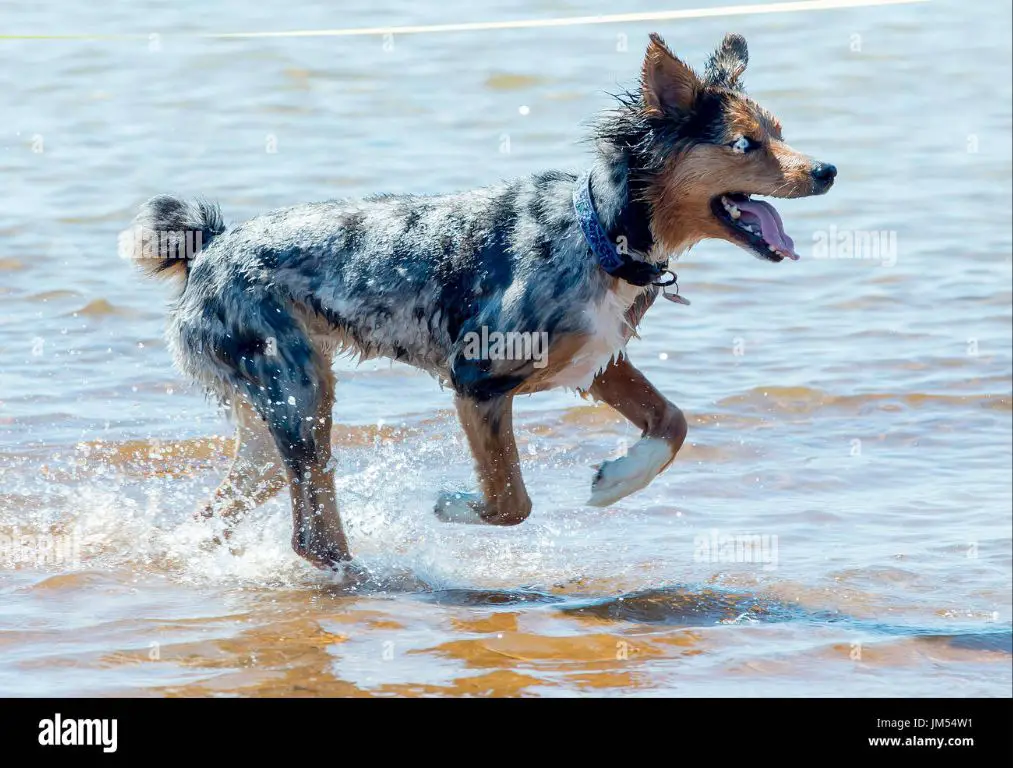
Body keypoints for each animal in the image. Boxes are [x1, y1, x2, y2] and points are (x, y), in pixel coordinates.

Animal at [128, 33, 838, 567]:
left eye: (779, 130)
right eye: (745, 144)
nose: (827, 170)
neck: (599, 230)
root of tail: (211, 247)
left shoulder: (596, 362)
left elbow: (674, 421)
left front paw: (615, 482)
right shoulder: (478, 380)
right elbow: (510, 502)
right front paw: (453, 506)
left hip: (273, 414)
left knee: (236, 507)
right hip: (296, 394)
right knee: (313, 537)